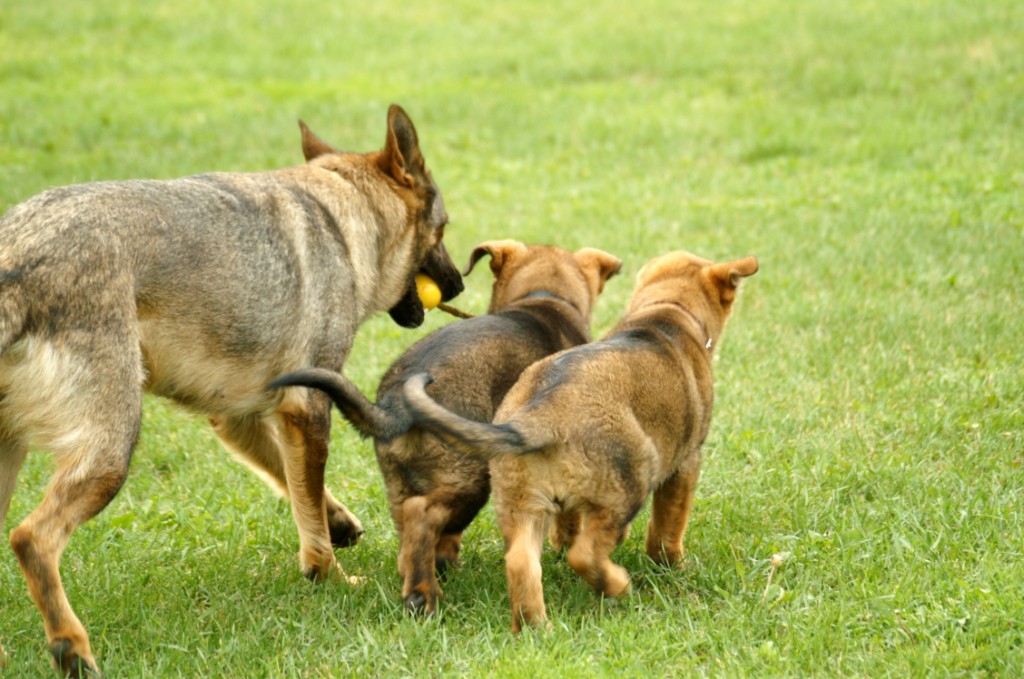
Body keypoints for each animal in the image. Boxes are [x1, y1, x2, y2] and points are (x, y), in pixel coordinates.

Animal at [268, 241, 618, 618]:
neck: (543, 297)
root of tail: (396, 404)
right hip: (470, 476)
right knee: (423, 516)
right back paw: (425, 598)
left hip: (401, 480)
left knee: (411, 536)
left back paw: (425, 584)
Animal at [403, 249, 757, 630]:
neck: (667, 312)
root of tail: (541, 415)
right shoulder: (685, 464)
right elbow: (668, 526)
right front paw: (672, 566)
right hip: (632, 477)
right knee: (585, 554)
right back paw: (615, 585)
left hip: (522, 501)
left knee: (521, 562)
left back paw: (536, 628)